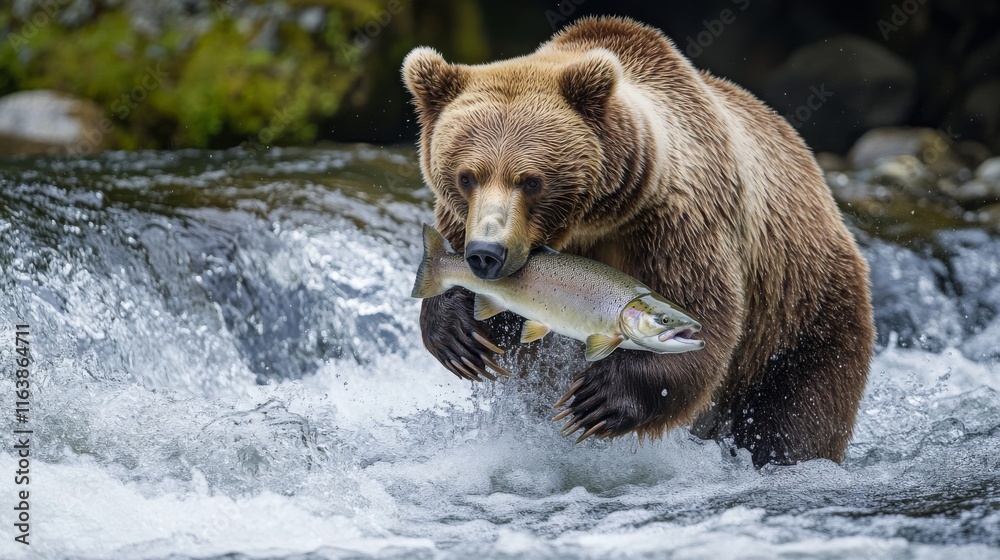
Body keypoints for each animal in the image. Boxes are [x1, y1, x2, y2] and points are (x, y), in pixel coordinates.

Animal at [402, 16, 874, 467]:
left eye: (531, 180)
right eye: (466, 176)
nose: (486, 254)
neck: (592, 222)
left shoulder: (677, 223)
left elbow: (706, 313)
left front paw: (596, 400)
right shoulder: (463, 221)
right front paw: (459, 337)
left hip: (803, 308)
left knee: (801, 407)